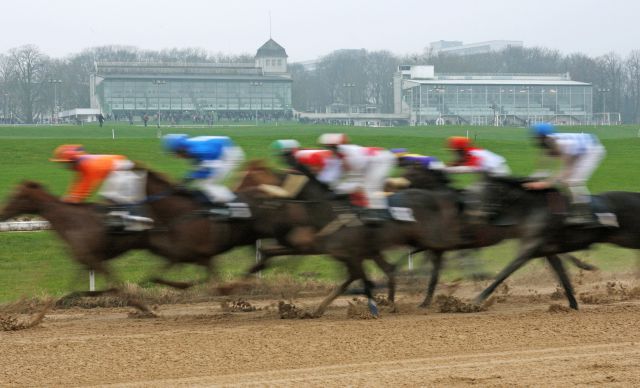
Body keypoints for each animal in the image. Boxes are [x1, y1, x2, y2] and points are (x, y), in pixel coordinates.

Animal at [472, 176, 640, 310]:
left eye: (489, 192)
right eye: (478, 192)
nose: (479, 216)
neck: (533, 209)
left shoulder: (529, 249)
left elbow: (504, 272)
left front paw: (476, 301)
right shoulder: (548, 251)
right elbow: (562, 274)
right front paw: (573, 304)